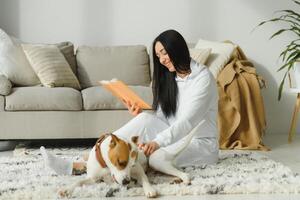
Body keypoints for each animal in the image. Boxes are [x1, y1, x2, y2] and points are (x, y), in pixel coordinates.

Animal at [59, 122, 202, 197]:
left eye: (132, 165)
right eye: (121, 162)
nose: (127, 182)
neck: (106, 166)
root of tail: (167, 151)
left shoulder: (138, 170)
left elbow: (144, 179)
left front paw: (149, 189)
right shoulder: (93, 179)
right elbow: (79, 182)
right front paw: (67, 189)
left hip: (155, 161)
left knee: (183, 174)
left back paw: (183, 179)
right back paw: (174, 179)